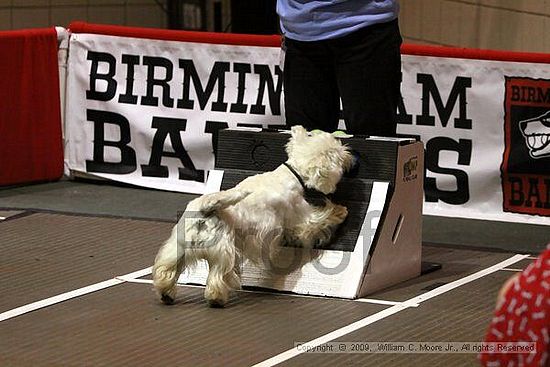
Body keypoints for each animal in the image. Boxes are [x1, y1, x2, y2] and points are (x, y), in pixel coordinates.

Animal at [153, 126, 356, 308]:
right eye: (337, 153)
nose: (350, 157)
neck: (290, 174)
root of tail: (206, 209)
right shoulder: (300, 218)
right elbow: (318, 220)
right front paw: (340, 211)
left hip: (178, 247)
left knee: (166, 270)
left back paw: (166, 294)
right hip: (224, 250)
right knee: (218, 276)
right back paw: (216, 299)